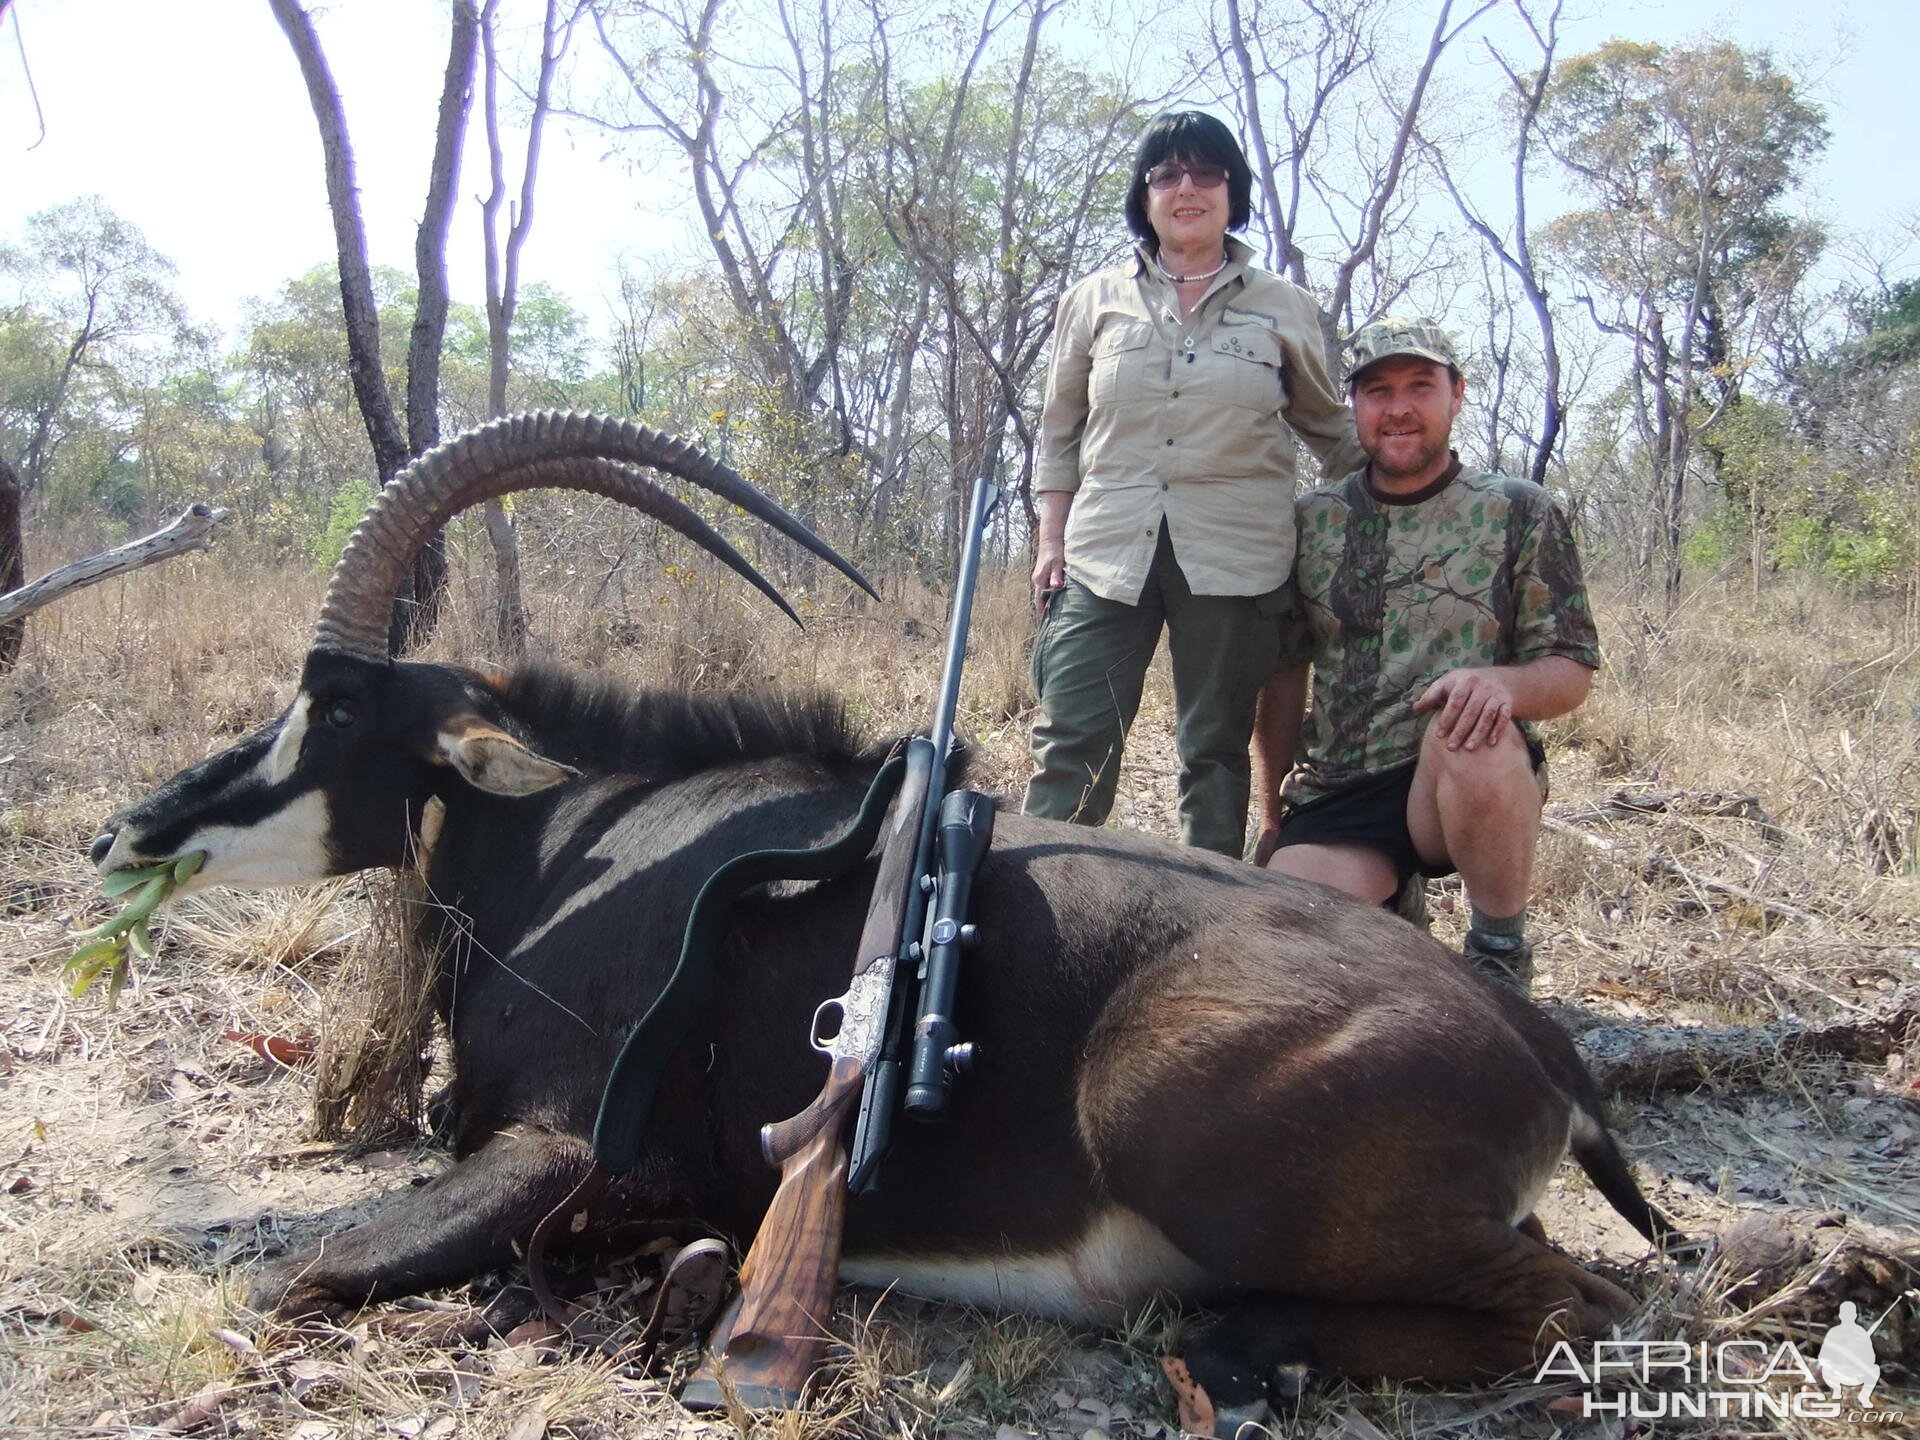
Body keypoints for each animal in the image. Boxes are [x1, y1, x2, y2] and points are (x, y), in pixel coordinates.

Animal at [90, 414, 1674, 1420]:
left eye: (339, 707)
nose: (124, 833)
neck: (582, 844)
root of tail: (1544, 1051)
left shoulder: (560, 1149)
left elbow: (296, 1274)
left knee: (1581, 1310)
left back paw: (1255, 1347)